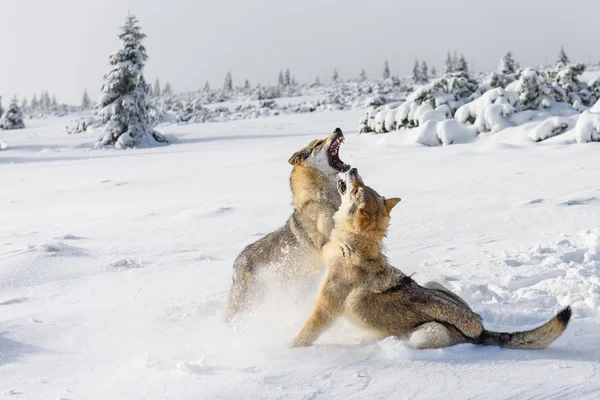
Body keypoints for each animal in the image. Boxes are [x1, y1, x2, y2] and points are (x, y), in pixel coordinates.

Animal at [290, 169, 572, 350]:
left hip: (424, 335)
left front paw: (287, 350)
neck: (356, 248)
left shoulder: (326, 309)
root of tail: (481, 330)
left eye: (358, 187)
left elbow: (305, 335)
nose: (353, 168)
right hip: (433, 282)